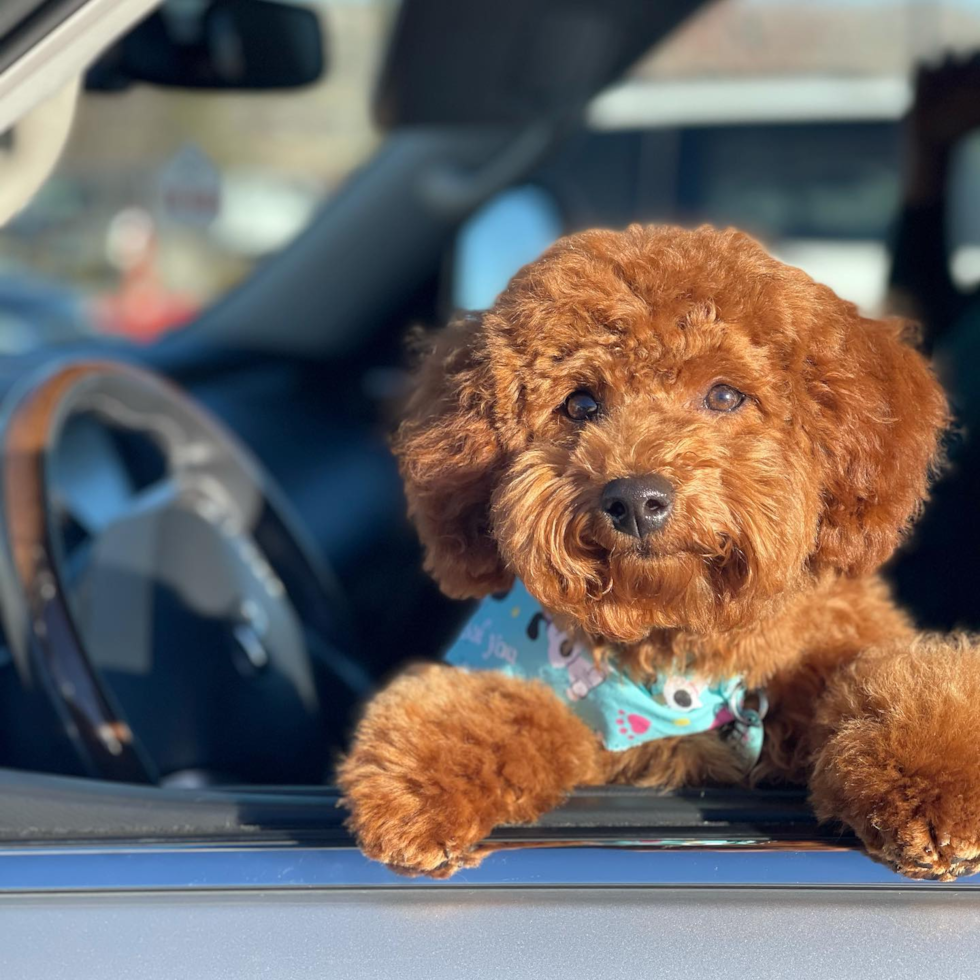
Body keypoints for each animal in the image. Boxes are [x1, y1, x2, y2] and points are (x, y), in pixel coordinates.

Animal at [340, 222, 980, 880]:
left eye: (724, 396)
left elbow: (892, 676)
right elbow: (503, 708)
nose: (634, 499)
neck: (682, 651)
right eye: (580, 404)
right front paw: (416, 790)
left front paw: (938, 785)